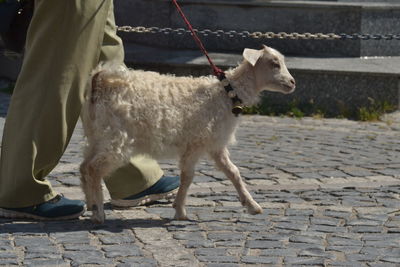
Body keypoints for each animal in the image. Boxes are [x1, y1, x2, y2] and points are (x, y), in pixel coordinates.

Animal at [79, 46, 296, 224]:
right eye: (274, 63)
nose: (293, 83)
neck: (226, 93)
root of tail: (99, 82)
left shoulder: (215, 144)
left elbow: (233, 172)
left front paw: (252, 206)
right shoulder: (196, 143)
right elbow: (188, 176)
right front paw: (180, 211)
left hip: (97, 135)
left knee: (83, 167)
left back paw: (90, 205)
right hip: (117, 138)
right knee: (94, 168)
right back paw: (98, 213)